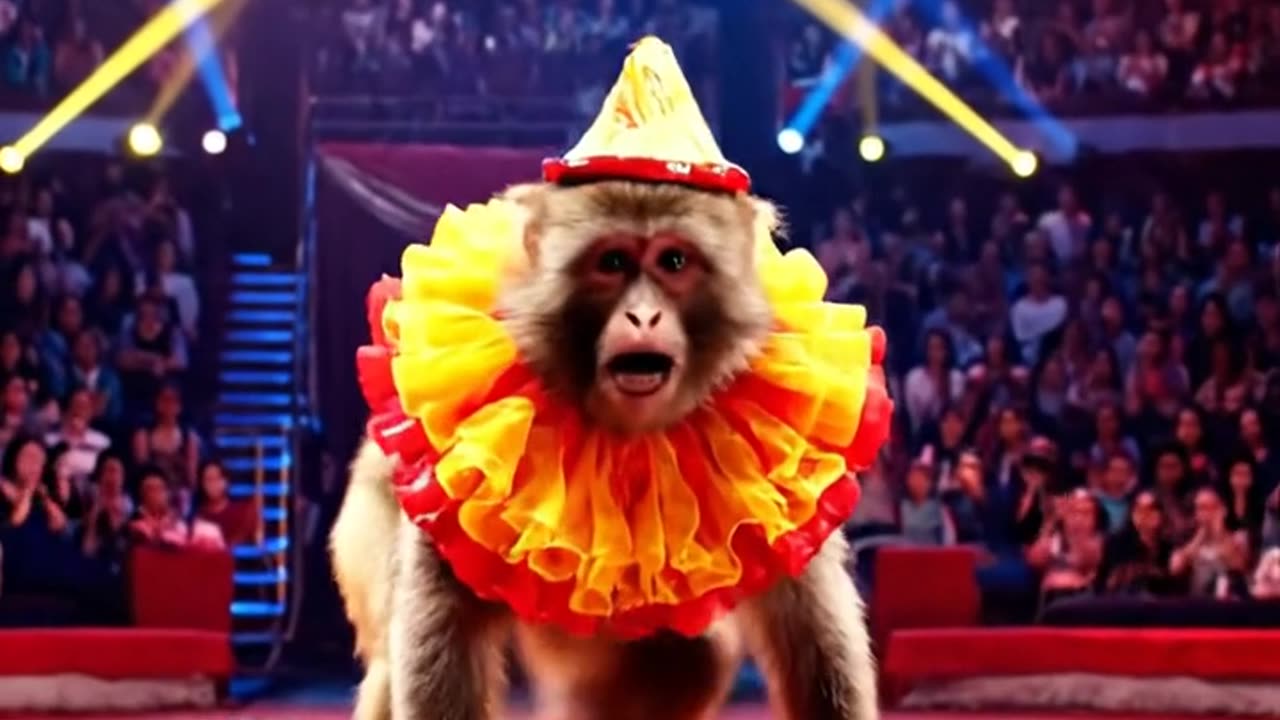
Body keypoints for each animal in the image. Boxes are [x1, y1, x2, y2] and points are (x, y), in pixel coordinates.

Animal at [330, 179, 879, 720]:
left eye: (673, 261)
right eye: (612, 263)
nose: (644, 315)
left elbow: (809, 634)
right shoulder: (460, 469)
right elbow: (442, 631)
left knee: (686, 659)